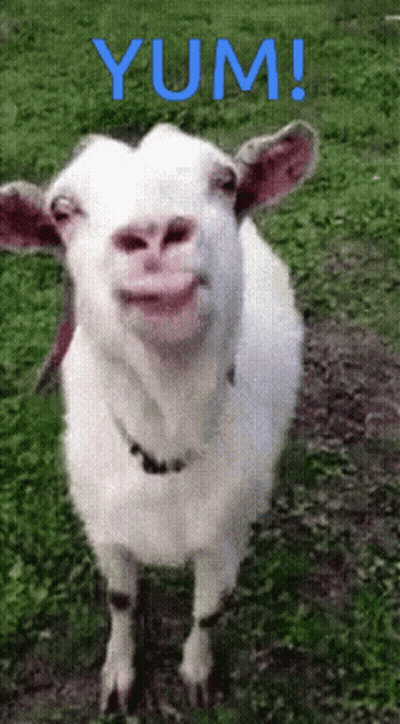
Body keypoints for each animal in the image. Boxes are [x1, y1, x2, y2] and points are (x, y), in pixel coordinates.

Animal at [0, 121, 316, 715]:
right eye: (62, 209)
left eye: (225, 181)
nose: (152, 233)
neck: (168, 437)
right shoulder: (105, 529)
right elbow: (121, 600)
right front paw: (119, 677)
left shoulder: (224, 537)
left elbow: (208, 610)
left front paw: (197, 673)